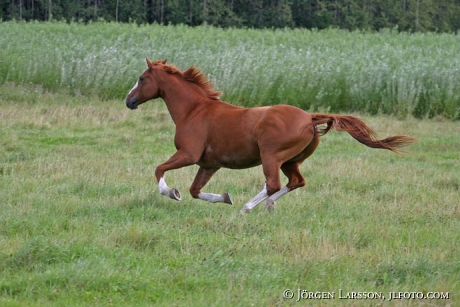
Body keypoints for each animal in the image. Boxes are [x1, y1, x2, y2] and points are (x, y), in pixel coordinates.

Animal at [124, 59, 416, 214]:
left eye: (142, 78)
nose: (129, 101)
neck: (195, 110)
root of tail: (309, 118)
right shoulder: (209, 164)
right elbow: (195, 191)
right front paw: (224, 197)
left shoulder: (188, 154)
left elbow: (159, 169)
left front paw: (170, 192)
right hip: (291, 160)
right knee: (296, 181)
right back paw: (265, 205)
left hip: (271, 156)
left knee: (274, 183)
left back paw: (247, 207)